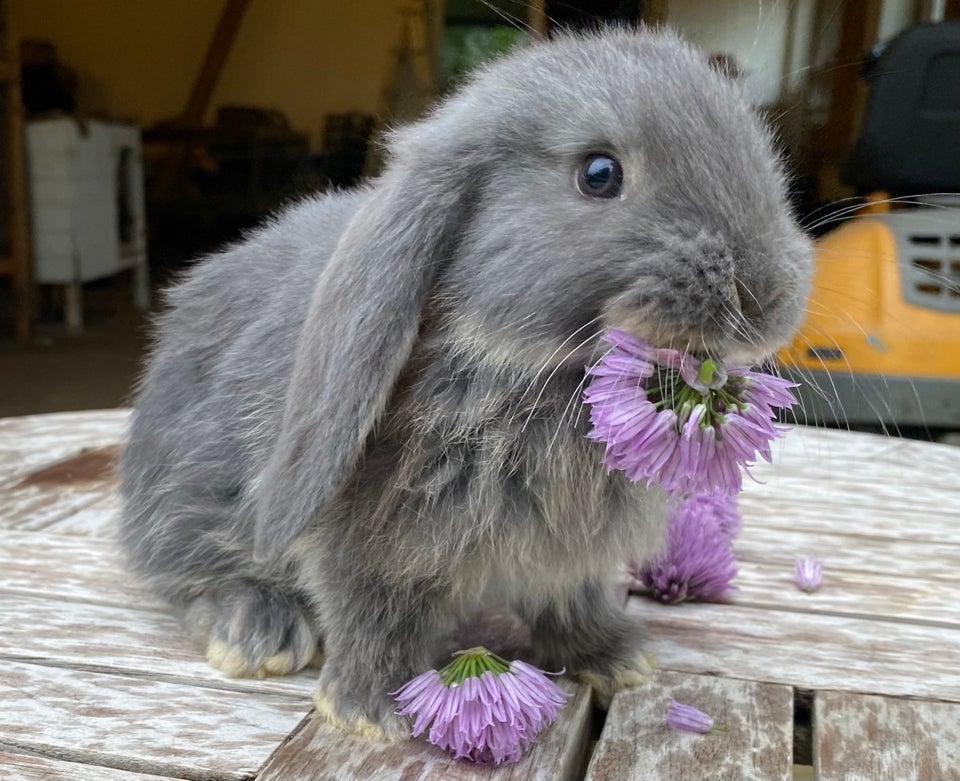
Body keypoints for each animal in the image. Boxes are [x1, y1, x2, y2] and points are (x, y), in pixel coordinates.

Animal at [118, 27, 808, 740]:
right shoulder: (364, 542)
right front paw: (371, 711)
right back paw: (259, 633)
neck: (530, 373)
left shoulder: (571, 558)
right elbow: (368, 611)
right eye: (599, 174)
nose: (765, 295)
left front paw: (617, 661)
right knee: (184, 568)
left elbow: (574, 598)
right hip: (189, 490)